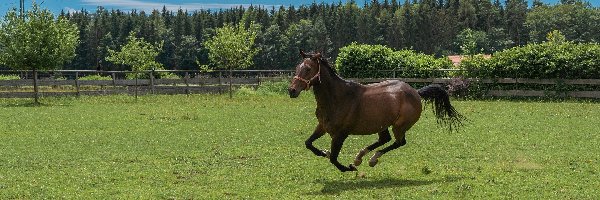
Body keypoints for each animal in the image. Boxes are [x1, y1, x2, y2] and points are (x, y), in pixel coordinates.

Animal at [288, 51, 466, 172]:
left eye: (308, 69)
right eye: (297, 67)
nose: (292, 90)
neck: (337, 98)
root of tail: (416, 92)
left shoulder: (340, 134)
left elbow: (333, 158)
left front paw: (349, 168)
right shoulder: (323, 126)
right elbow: (309, 143)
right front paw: (324, 152)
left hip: (399, 125)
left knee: (399, 142)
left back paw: (372, 159)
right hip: (382, 124)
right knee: (385, 139)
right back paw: (360, 157)